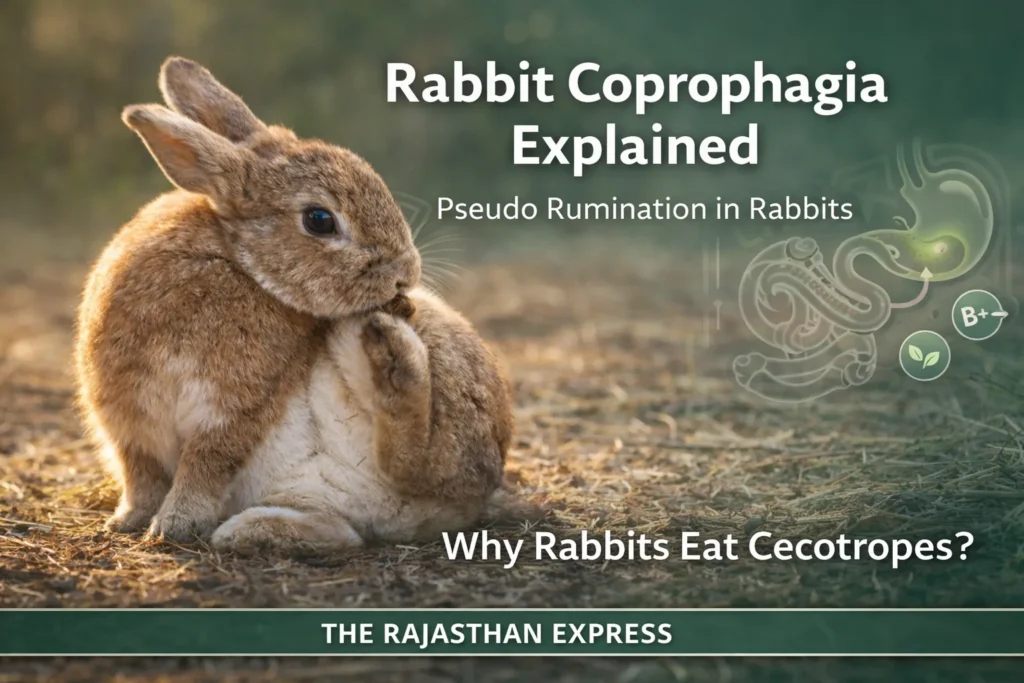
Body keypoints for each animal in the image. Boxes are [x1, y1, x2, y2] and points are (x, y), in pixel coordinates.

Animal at [75, 57, 421, 543]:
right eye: (319, 220)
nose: (406, 277)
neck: (236, 262)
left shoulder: (236, 407)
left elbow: (206, 465)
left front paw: (177, 523)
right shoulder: (127, 415)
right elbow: (140, 471)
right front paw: (132, 519)